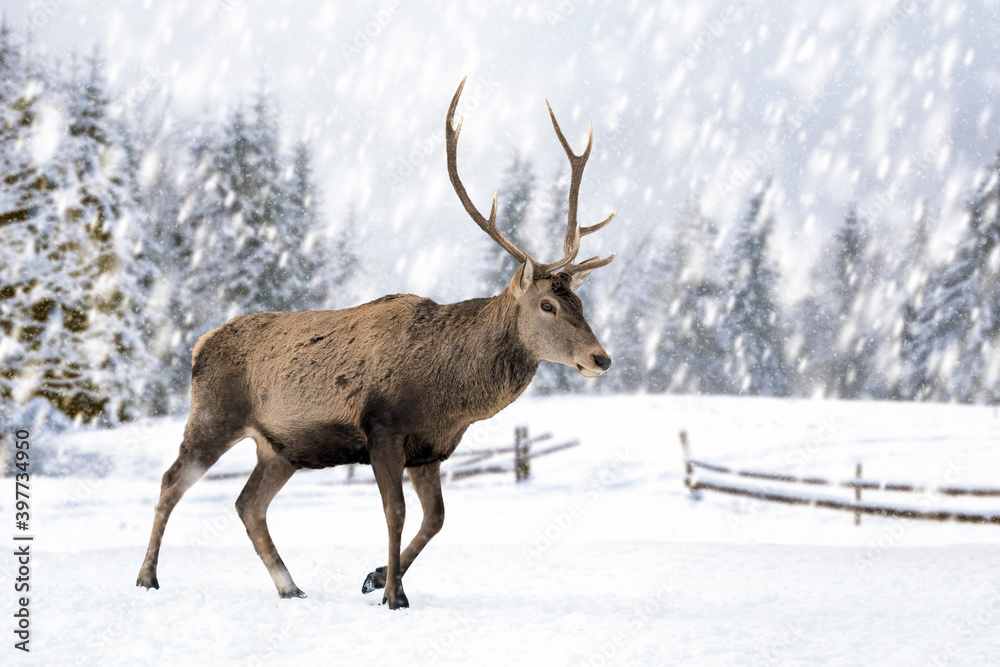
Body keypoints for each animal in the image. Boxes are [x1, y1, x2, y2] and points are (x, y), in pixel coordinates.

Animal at [135, 78, 616, 612]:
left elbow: (435, 519)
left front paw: (375, 577)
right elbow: (396, 511)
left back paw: (290, 586)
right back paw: (147, 578)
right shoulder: (382, 428)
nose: (601, 358)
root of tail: (198, 346)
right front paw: (393, 595)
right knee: (172, 481)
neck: (448, 394)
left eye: (579, 300)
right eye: (547, 305)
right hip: (213, 415)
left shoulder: (430, 448)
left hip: (280, 447)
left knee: (247, 503)